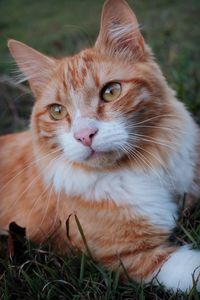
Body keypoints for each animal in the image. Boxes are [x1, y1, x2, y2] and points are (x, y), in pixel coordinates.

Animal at [0, 0, 200, 292]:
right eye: (57, 111)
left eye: (111, 91)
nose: (85, 135)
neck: (143, 166)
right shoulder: (126, 257)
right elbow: (190, 269)